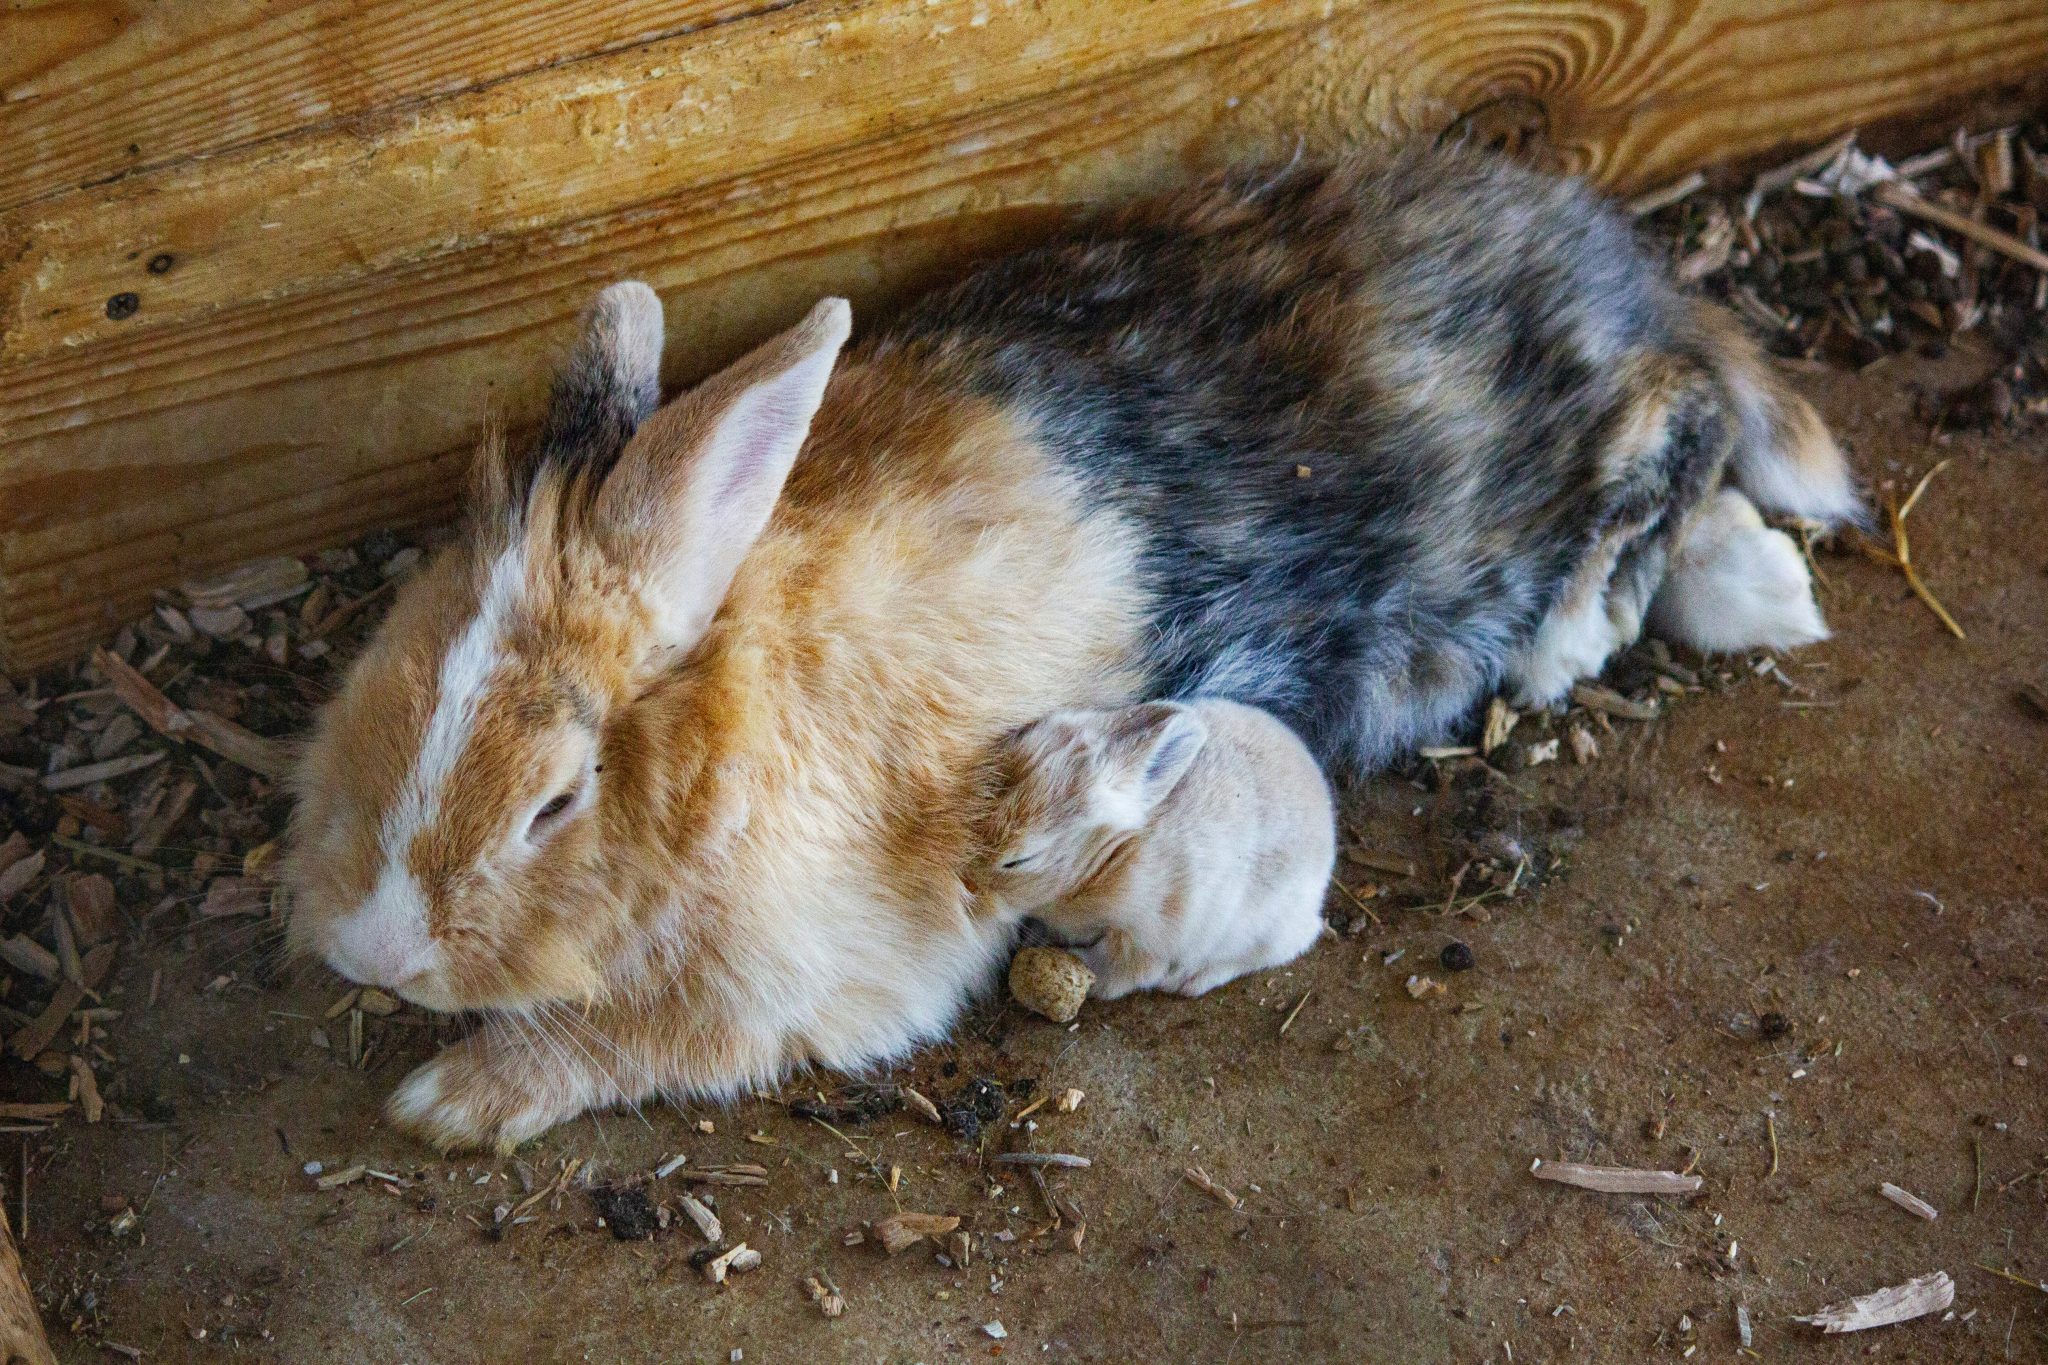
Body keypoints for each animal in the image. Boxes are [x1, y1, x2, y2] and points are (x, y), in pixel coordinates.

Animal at [978, 700, 1335, 1000]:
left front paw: (1080, 966)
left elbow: (1122, 972)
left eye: (1019, 860)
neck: (1105, 860)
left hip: (1259, 930)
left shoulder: (1145, 934)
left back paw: (1191, 979)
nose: (974, 892)